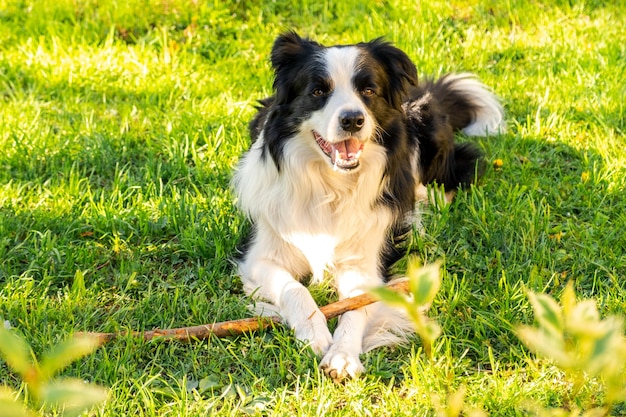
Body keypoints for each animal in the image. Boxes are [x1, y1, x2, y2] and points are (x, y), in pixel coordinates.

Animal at [229, 32, 502, 380]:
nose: (352, 119)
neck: (330, 185)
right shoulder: (261, 257)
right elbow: (294, 289)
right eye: (318, 91)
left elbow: (357, 306)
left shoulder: (365, 262)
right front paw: (314, 334)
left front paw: (343, 353)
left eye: (368, 90)